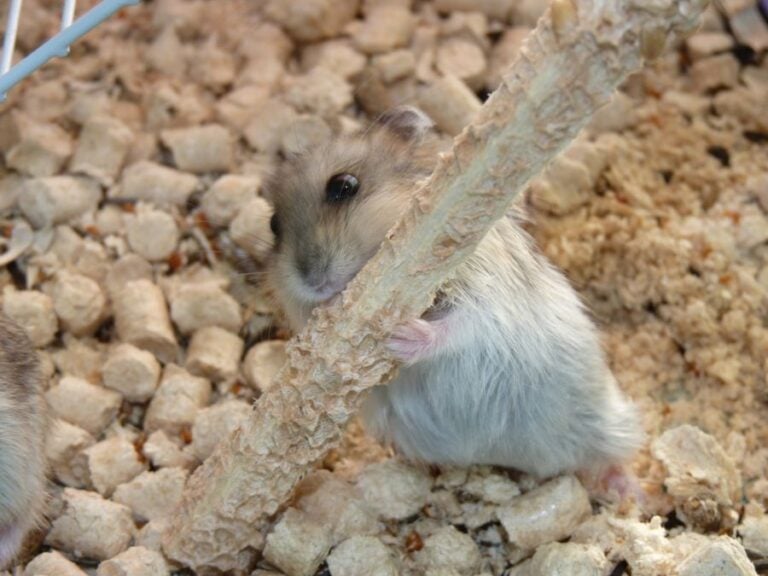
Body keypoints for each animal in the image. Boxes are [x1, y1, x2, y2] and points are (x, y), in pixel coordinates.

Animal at [265, 106, 642, 480]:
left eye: (343, 185)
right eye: (274, 226)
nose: (312, 280)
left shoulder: (486, 293)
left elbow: (459, 325)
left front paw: (398, 336)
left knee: (609, 457)